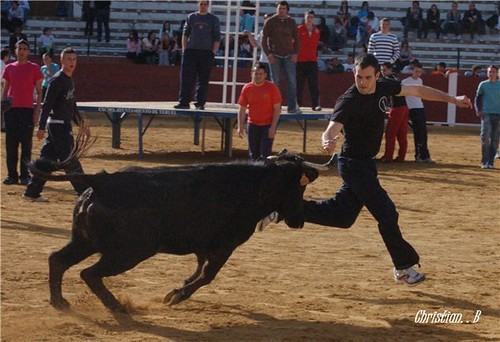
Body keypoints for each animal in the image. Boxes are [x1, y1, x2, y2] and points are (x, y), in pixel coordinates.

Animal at [28, 152, 332, 312]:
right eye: (298, 187)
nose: (299, 220)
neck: (253, 186)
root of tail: (102, 181)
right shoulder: (224, 246)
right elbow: (207, 275)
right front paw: (176, 295)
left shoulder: (204, 246)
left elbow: (198, 270)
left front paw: (177, 288)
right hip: (130, 252)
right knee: (89, 273)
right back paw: (118, 308)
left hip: (84, 242)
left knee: (58, 260)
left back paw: (60, 302)